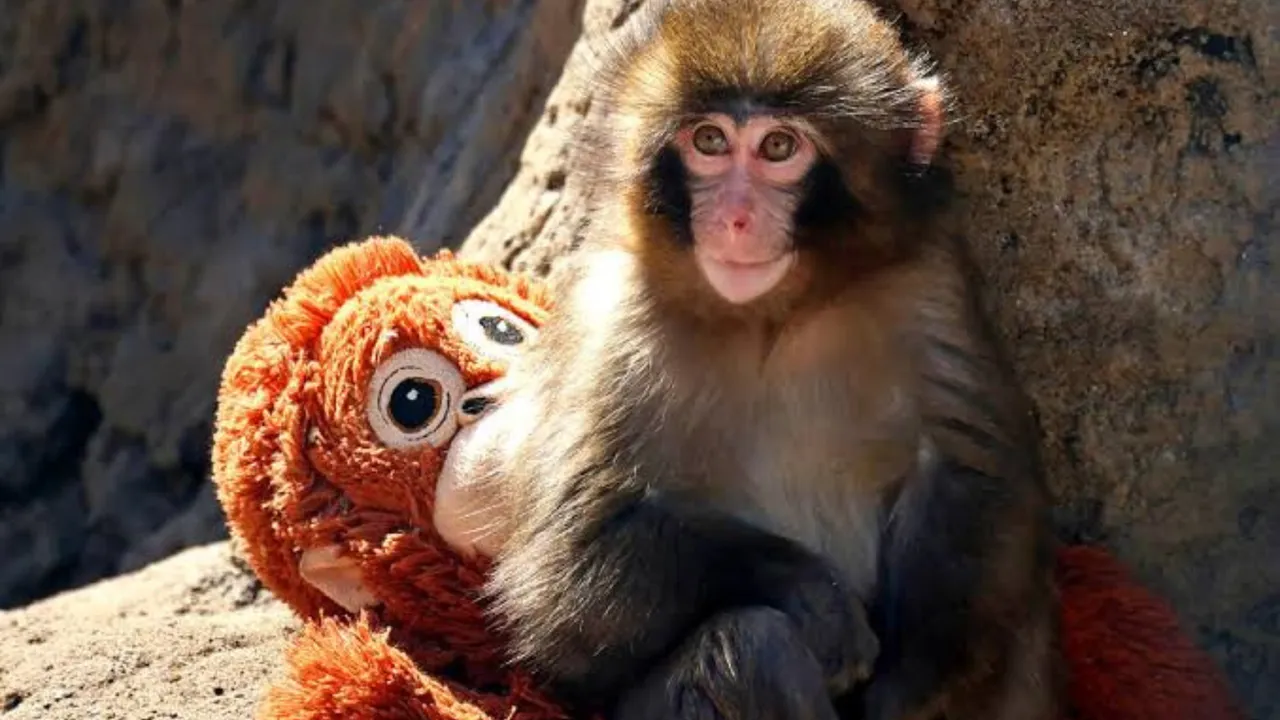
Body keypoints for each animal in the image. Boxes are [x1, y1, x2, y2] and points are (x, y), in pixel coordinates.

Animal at [460, 0, 1064, 718]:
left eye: (778, 148)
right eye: (710, 142)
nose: (736, 218)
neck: (773, 317)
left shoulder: (926, 284)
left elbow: (971, 475)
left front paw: (908, 687)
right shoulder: (613, 324)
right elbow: (566, 569)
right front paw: (813, 595)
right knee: (749, 645)